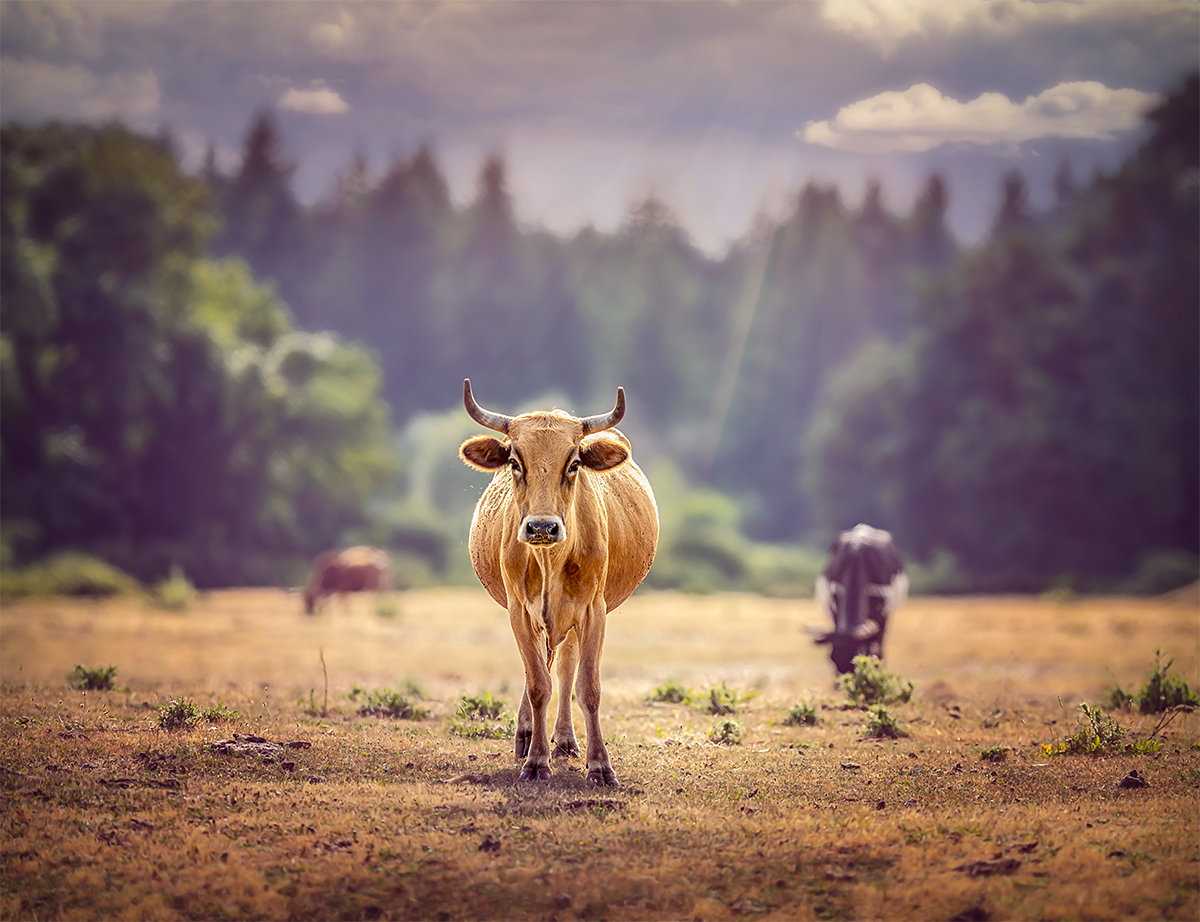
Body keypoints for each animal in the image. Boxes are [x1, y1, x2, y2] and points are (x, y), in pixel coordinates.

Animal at [458, 379, 658, 786]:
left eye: (574, 463)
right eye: (514, 462)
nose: (541, 527)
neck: (550, 561)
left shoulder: (594, 609)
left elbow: (587, 687)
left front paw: (600, 766)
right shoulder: (519, 610)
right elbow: (537, 684)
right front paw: (536, 761)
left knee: (565, 666)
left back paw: (564, 739)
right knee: (543, 667)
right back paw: (527, 735)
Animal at [813, 524, 908, 674]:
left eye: (857, 661)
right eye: (832, 659)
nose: (844, 679)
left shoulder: (882, 618)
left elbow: (877, 651)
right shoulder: (835, 611)